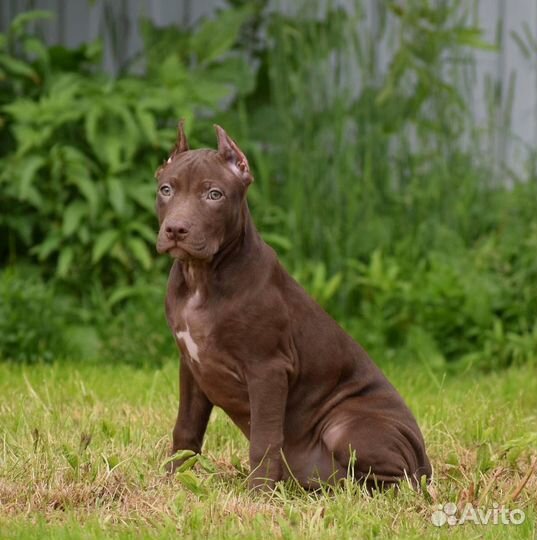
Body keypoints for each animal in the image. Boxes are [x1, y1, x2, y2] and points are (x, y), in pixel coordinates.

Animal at [155, 121, 432, 490]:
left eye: (214, 195)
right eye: (166, 189)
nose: (175, 229)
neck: (202, 278)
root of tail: (425, 460)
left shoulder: (268, 369)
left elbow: (265, 438)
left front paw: (258, 492)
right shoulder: (191, 367)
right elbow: (186, 428)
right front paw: (172, 480)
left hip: (346, 425)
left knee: (399, 479)